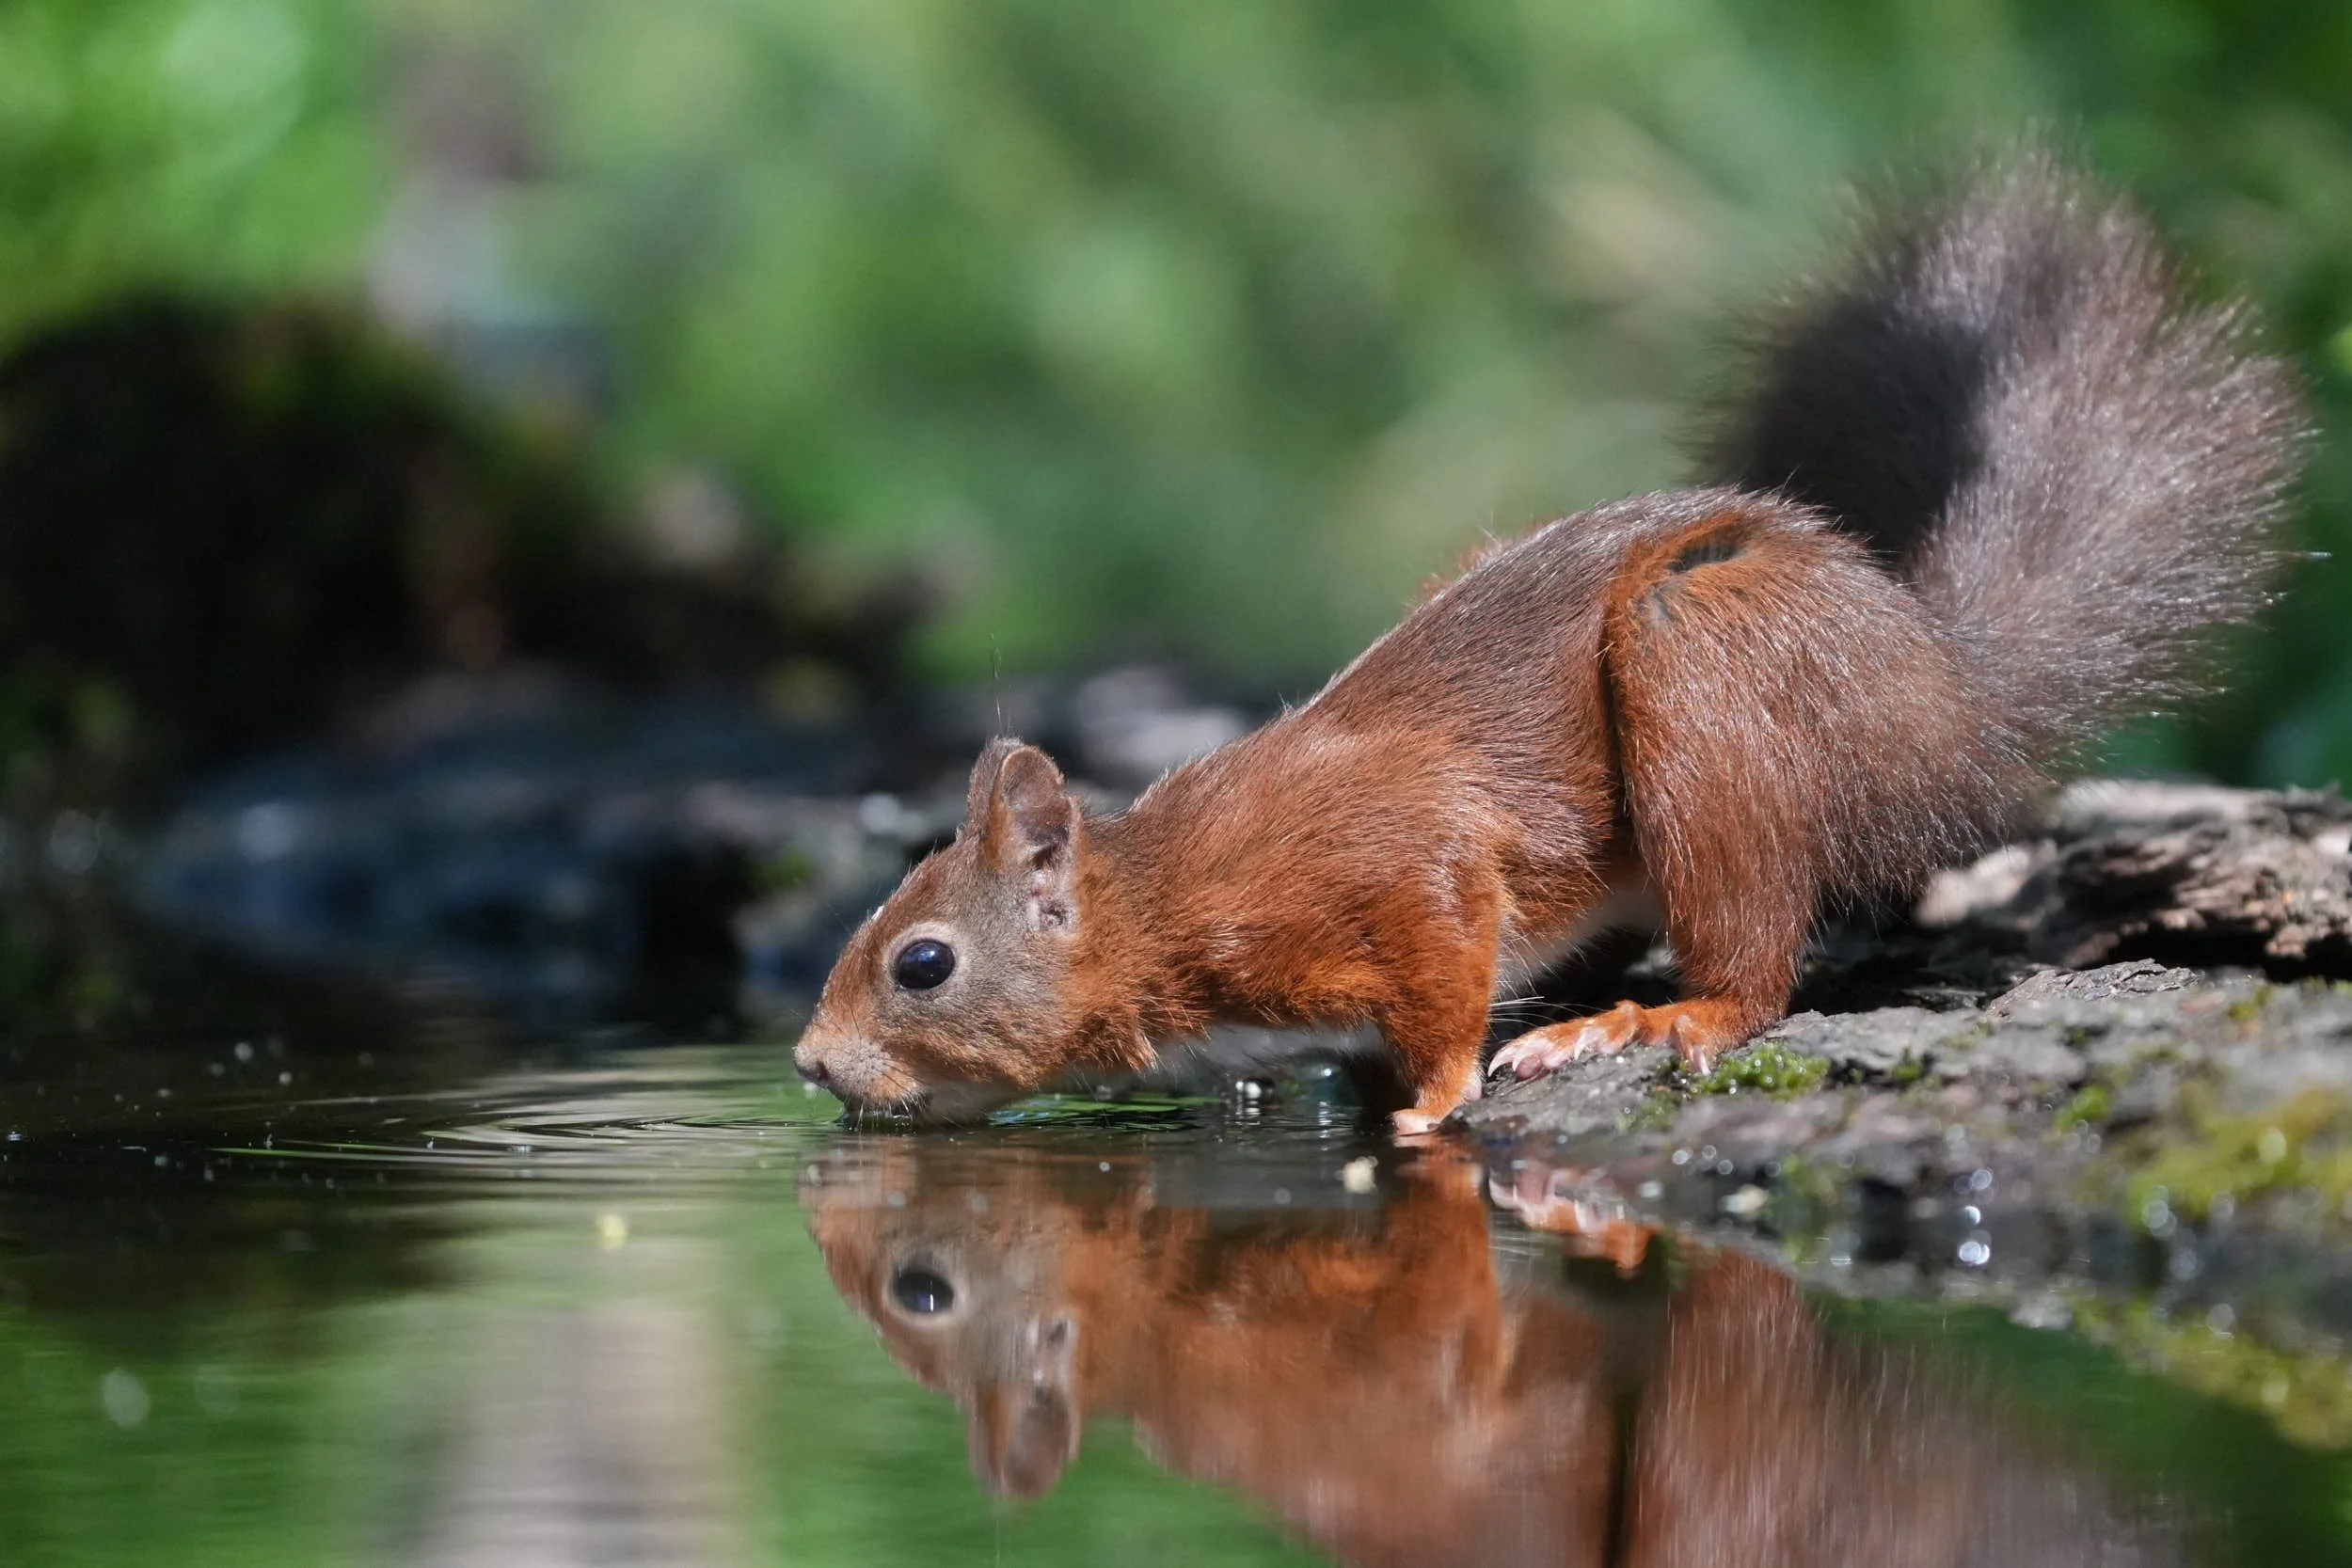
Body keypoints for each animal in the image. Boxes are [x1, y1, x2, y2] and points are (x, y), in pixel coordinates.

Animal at [793, 151, 2305, 1134]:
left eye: (922, 960)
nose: (807, 1061)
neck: (1159, 908)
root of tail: (1947, 700)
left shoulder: (1384, 865)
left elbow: (1443, 950)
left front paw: (1431, 1096)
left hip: (1708, 665)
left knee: (1754, 964)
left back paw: (1660, 1017)